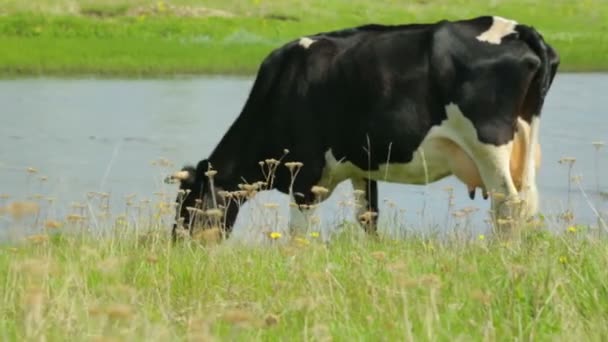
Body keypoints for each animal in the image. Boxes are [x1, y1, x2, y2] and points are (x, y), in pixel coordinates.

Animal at [165, 15, 560, 240]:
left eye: (189, 206)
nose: (179, 246)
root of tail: (519, 29)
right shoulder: (361, 166)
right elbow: (368, 218)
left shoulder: (304, 176)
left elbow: (298, 234)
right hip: (523, 144)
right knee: (525, 203)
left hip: (489, 145)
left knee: (507, 205)